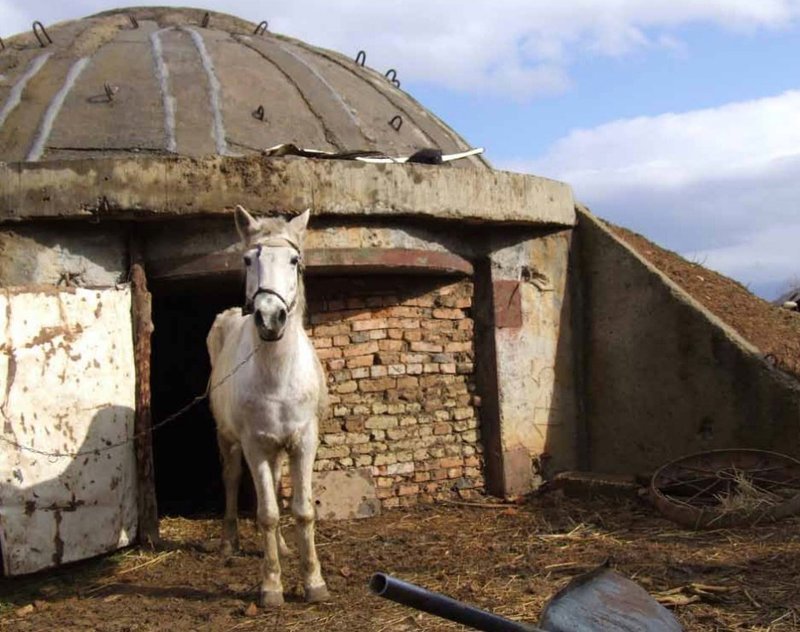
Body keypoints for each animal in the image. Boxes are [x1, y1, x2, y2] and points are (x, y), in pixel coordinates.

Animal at [209, 205, 332, 604]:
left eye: (294, 261)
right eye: (249, 259)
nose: (268, 317)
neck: (279, 375)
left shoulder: (304, 442)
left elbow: (302, 511)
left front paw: (313, 582)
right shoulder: (254, 445)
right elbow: (266, 514)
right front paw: (271, 586)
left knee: (276, 486)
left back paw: (282, 547)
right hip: (228, 439)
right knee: (232, 479)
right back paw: (229, 543)